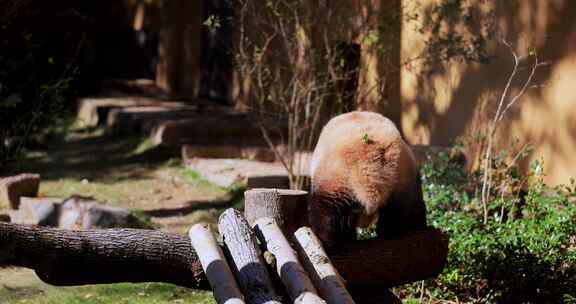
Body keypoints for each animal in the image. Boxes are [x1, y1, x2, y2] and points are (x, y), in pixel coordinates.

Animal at [308, 110, 426, 248]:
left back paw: (330, 241)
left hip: (335, 177)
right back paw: (394, 231)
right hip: (403, 175)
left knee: (325, 210)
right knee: (404, 208)